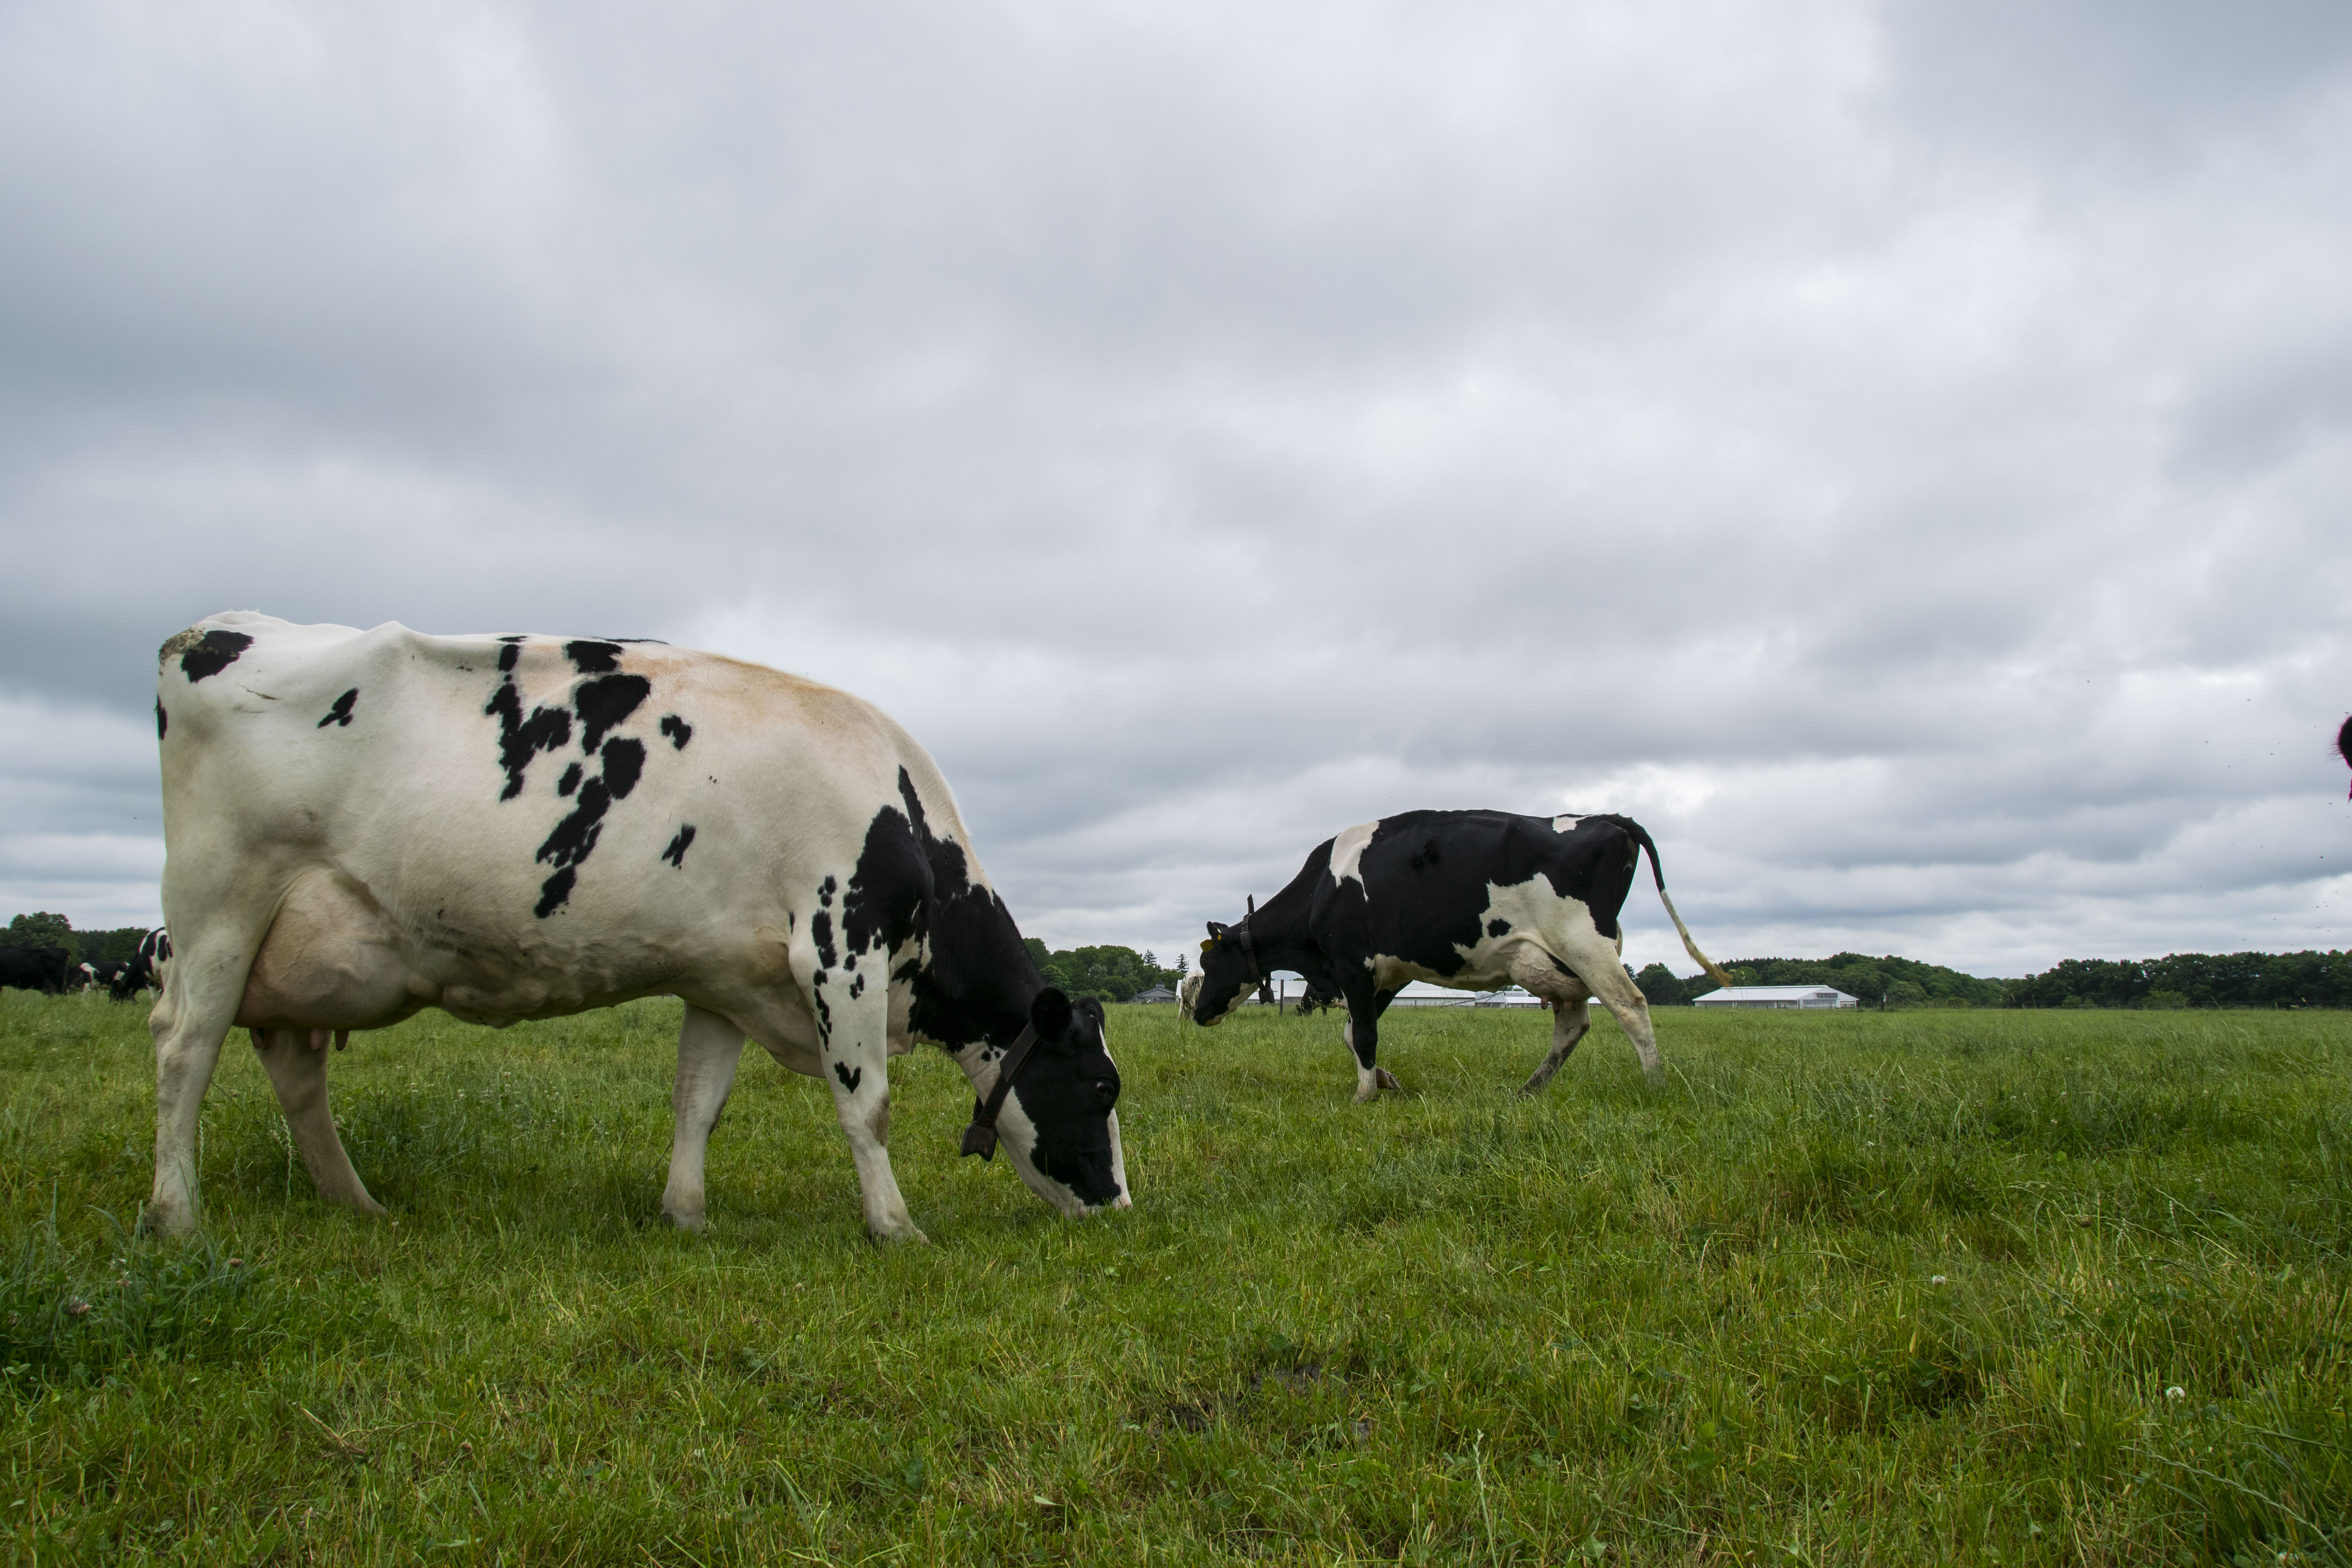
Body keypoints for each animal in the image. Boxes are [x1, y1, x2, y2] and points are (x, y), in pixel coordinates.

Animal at [144, 612, 1128, 1243]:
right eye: (1103, 1087)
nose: (1120, 1205)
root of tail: (216, 629)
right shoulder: (839, 945)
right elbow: (868, 1103)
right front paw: (895, 1225)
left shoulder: (727, 977)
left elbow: (700, 1100)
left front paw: (684, 1212)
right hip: (219, 902)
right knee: (185, 1051)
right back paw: (176, 1216)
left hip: (298, 949)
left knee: (293, 1069)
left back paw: (354, 1204)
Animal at [1180, 810, 1730, 1099]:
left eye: (1207, 964)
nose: (1199, 1013)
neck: (1322, 888)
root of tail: (1603, 818)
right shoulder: (1386, 975)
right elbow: (1353, 1033)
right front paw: (1386, 1080)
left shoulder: (1353, 966)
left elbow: (1363, 1035)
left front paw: (1364, 1094)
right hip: (1557, 960)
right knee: (1574, 1023)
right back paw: (1532, 1088)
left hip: (1584, 942)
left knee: (1630, 1007)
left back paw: (1656, 1085)